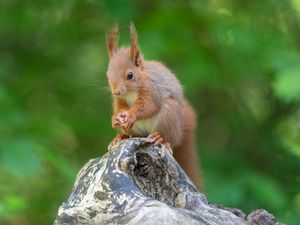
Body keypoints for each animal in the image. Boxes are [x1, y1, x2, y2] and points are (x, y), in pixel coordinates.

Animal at [105, 22, 202, 188]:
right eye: (107, 74)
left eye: (130, 75)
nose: (116, 92)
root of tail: (179, 131)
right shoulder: (120, 100)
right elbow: (120, 108)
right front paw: (115, 118)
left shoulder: (152, 89)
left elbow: (148, 106)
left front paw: (131, 115)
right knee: (133, 135)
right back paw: (120, 137)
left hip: (169, 115)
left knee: (169, 139)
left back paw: (160, 138)